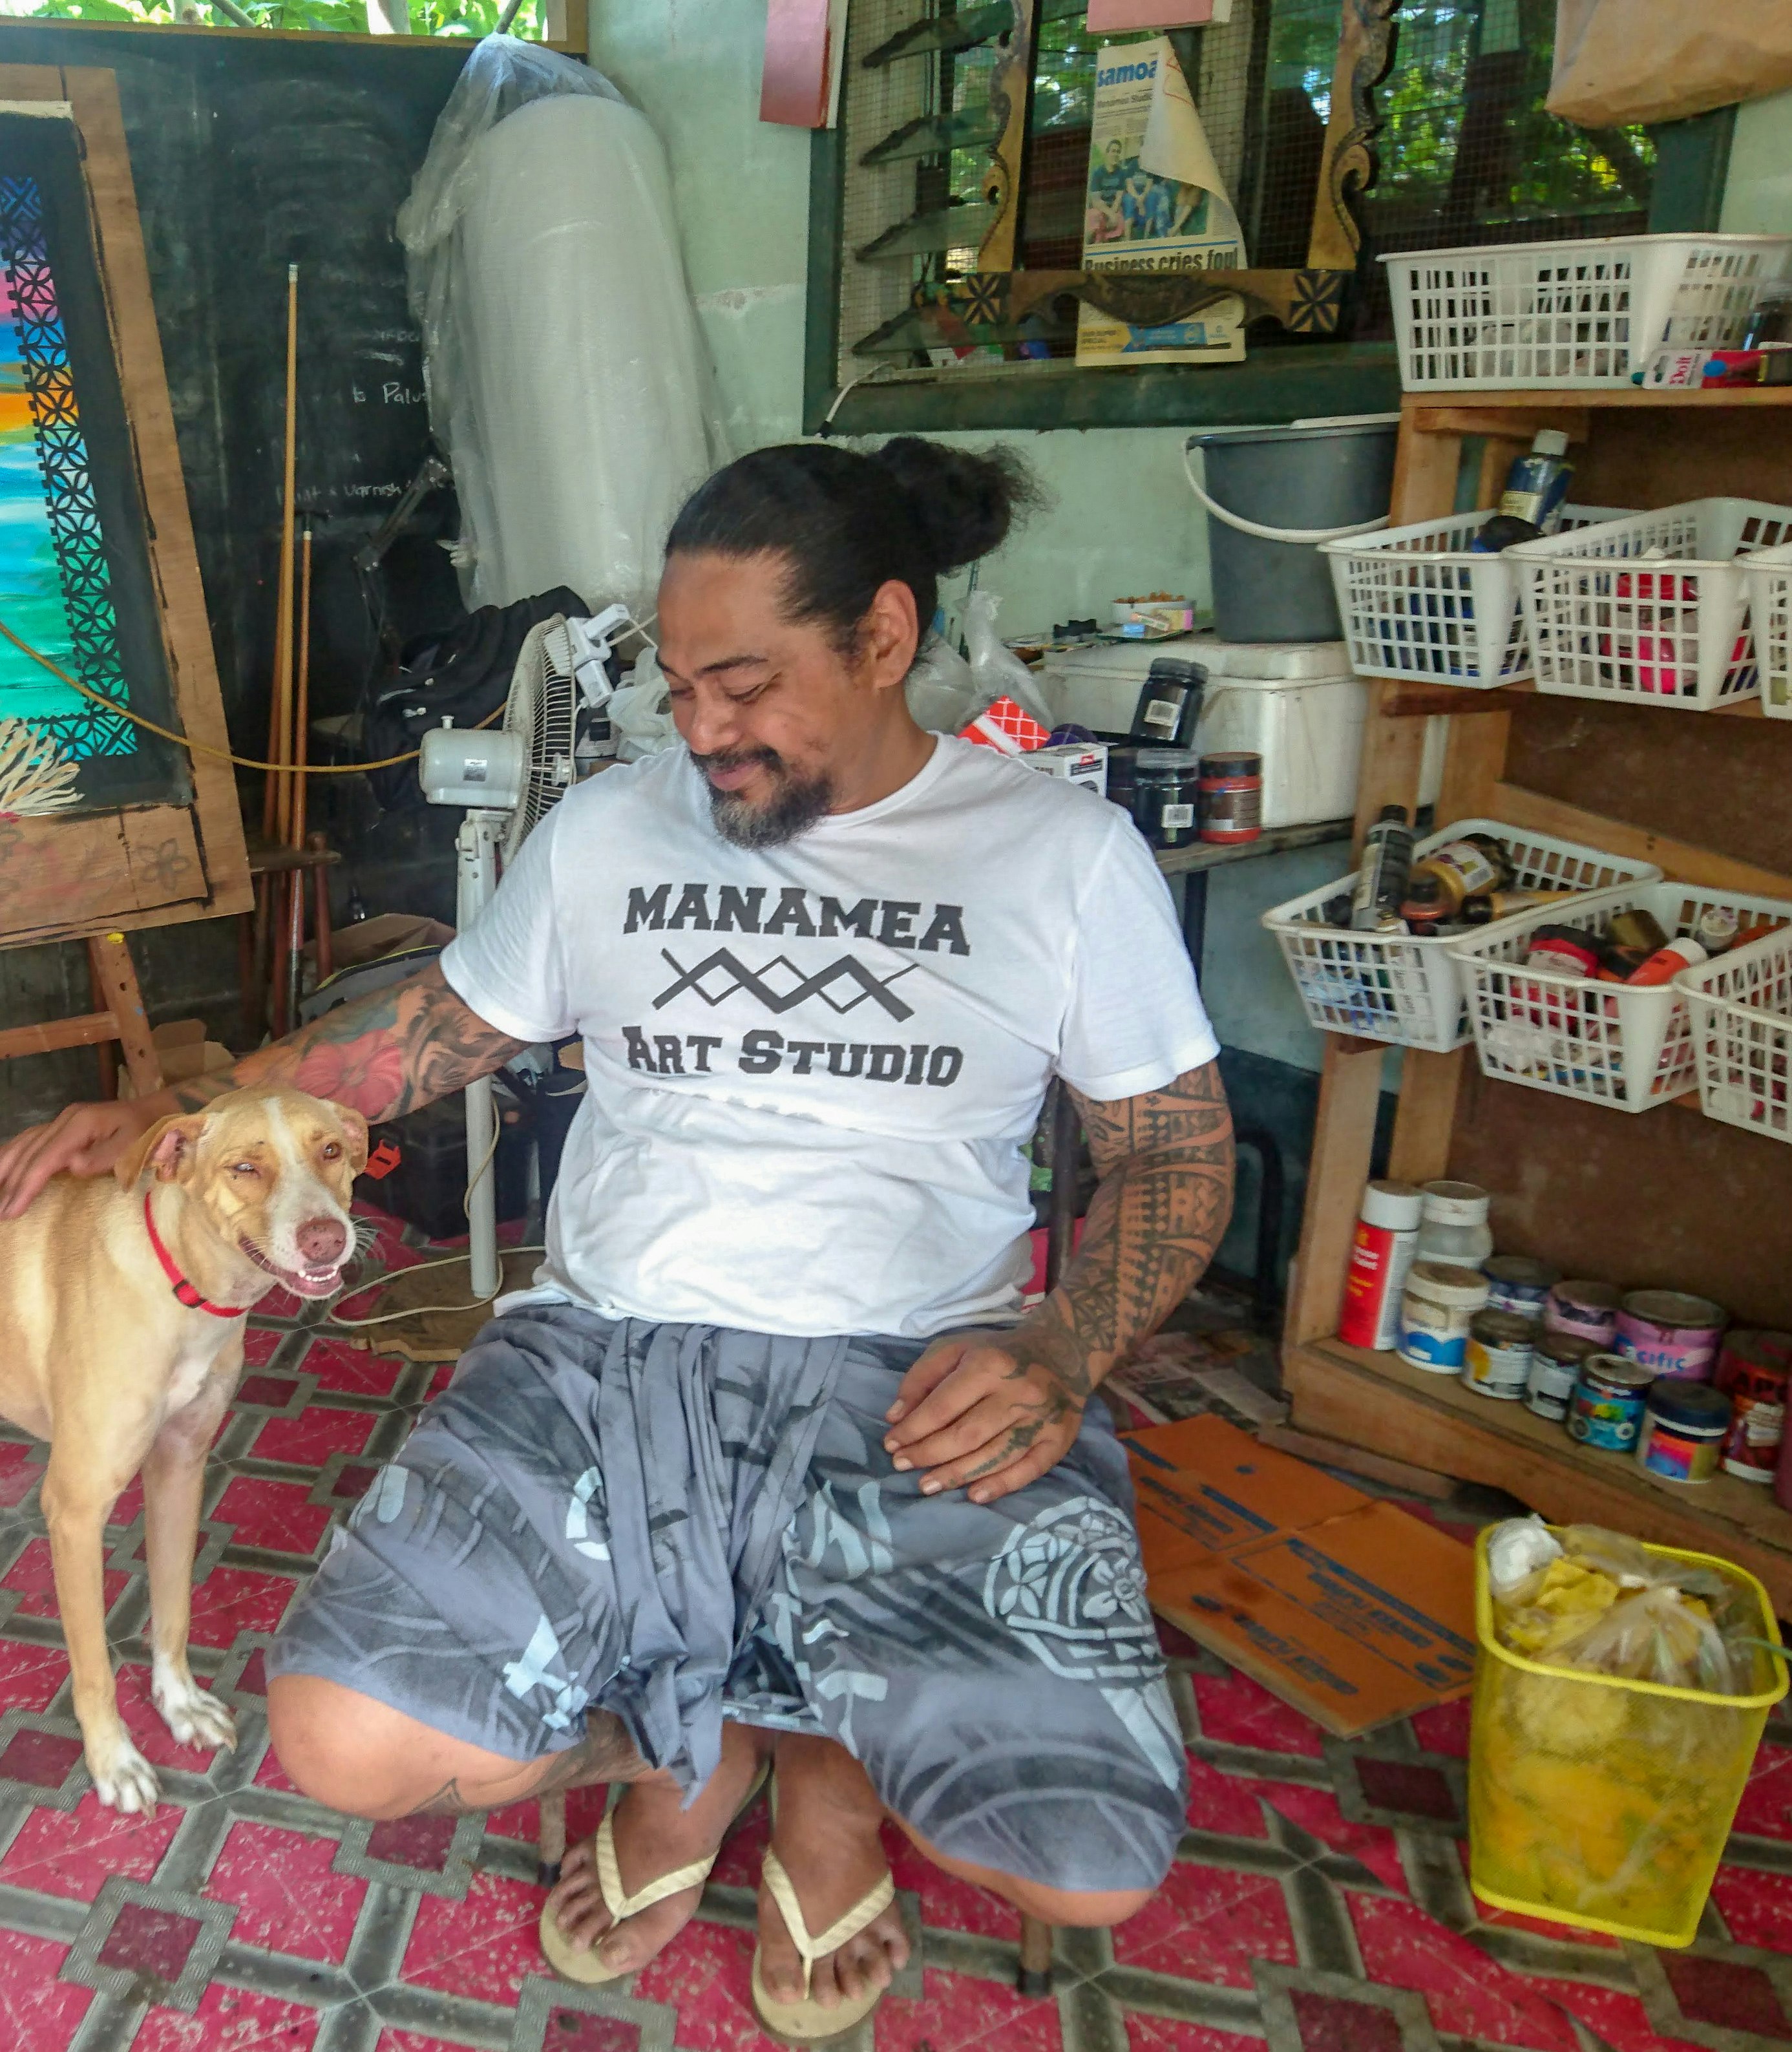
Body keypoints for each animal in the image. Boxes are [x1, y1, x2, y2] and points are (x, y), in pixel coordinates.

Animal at [0, 1083, 367, 1806]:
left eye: (332, 1151)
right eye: (245, 1168)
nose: (326, 1237)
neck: (188, 1292)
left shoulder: (179, 1465)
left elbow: (173, 1607)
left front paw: (180, 1703)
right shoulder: (75, 1509)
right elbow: (93, 1664)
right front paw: (113, 1759)